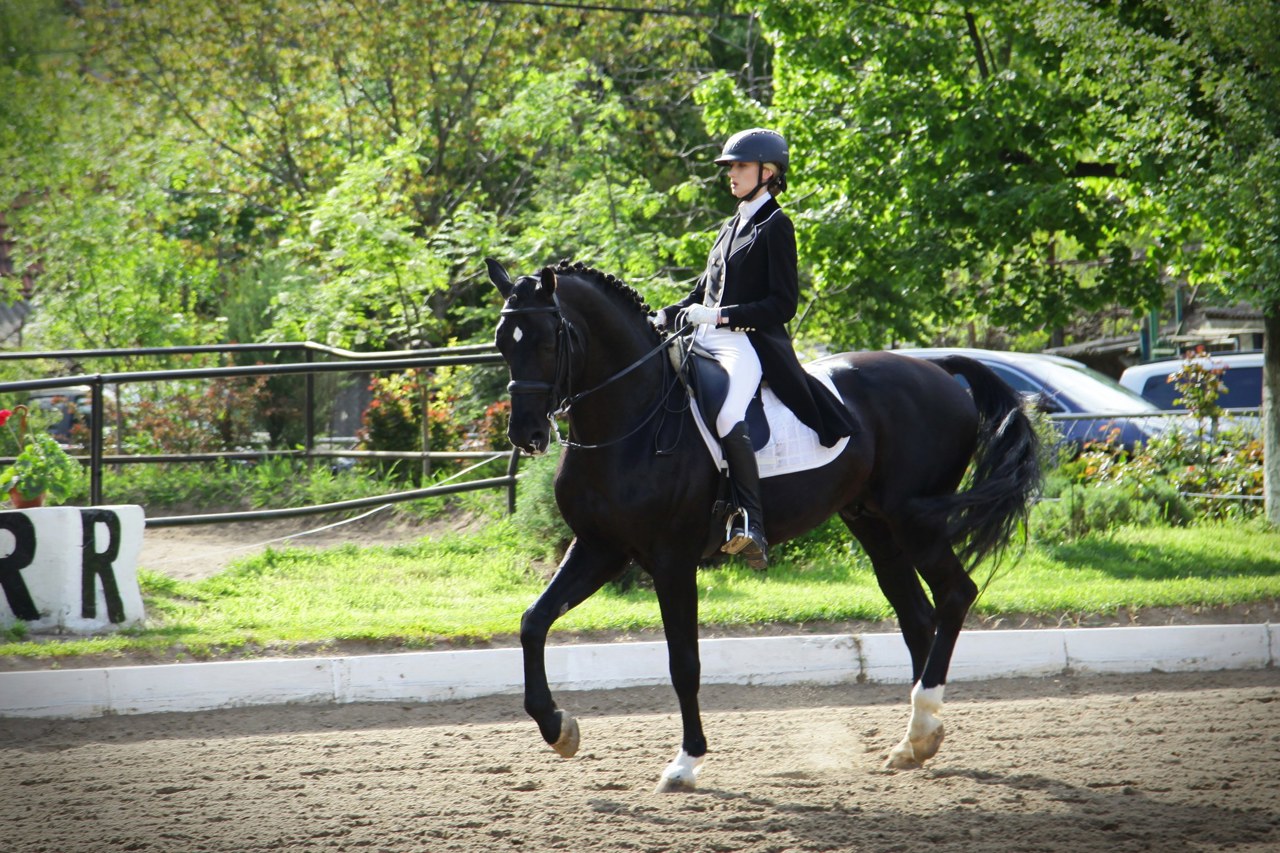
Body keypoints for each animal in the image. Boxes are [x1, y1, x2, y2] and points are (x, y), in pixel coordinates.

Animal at [488, 258, 1039, 788]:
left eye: (546, 340)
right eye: (502, 342)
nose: (526, 434)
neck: (630, 420)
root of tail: (936, 369)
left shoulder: (672, 560)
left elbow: (683, 662)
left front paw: (686, 763)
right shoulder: (599, 548)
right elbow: (533, 621)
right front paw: (558, 728)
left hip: (914, 521)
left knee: (954, 595)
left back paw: (923, 723)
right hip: (875, 525)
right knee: (918, 615)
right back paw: (918, 739)